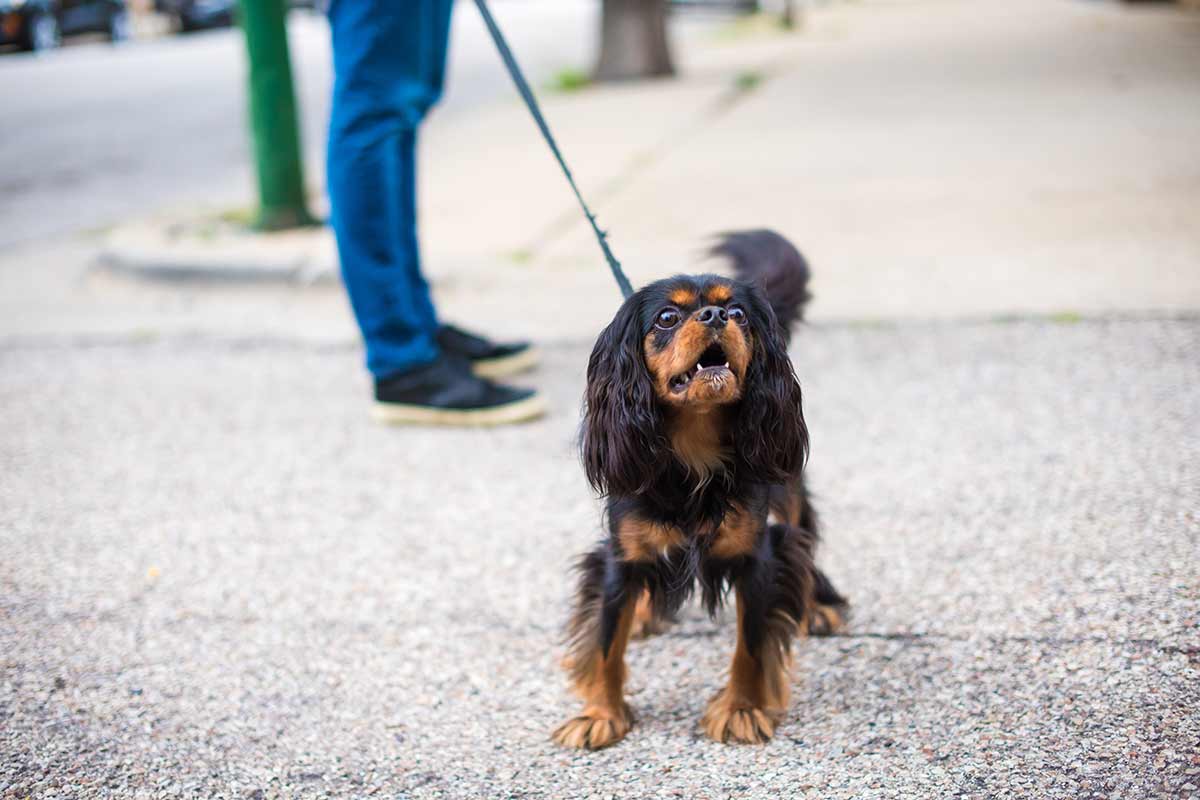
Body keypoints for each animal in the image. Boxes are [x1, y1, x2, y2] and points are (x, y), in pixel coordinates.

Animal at [552, 226, 844, 753]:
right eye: (668, 317)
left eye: (739, 313)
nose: (715, 316)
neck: (693, 448)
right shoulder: (619, 556)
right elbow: (605, 641)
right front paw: (599, 715)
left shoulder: (756, 555)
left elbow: (751, 644)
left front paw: (741, 710)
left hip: (787, 488)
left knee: (802, 536)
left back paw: (817, 607)